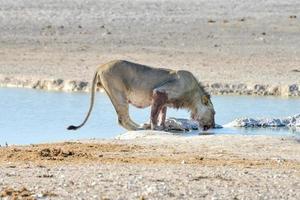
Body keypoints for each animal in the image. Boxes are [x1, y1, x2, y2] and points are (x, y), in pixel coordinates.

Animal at [67, 59, 216, 131]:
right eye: (214, 113)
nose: (213, 126)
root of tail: (101, 66)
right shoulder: (159, 91)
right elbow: (154, 114)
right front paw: (156, 128)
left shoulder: (164, 99)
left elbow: (162, 114)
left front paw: (163, 126)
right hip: (119, 93)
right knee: (122, 119)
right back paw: (138, 128)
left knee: (125, 117)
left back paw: (141, 125)